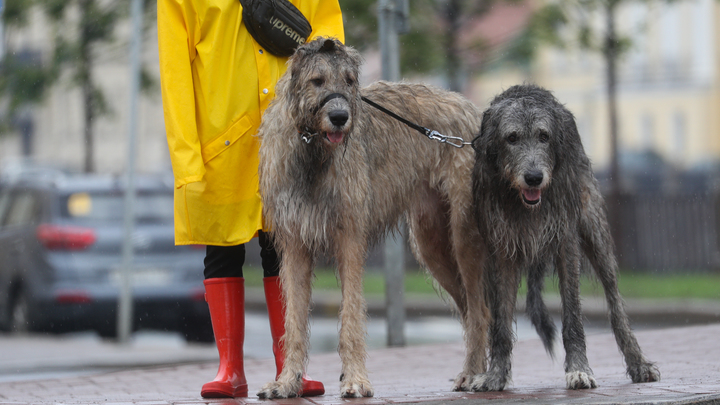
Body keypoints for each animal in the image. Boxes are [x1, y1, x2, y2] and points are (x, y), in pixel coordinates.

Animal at [258, 38, 490, 398]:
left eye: (350, 80)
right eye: (317, 81)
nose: (340, 117)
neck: (312, 150)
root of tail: (472, 110)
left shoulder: (350, 239)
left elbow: (352, 315)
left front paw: (355, 379)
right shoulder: (295, 246)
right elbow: (293, 322)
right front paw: (286, 382)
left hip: (464, 239)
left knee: (480, 312)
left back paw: (477, 375)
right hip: (432, 245)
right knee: (471, 310)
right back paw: (472, 372)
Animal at [470, 83, 660, 390]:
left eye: (543, 136)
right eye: (511, 138)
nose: (534, 177)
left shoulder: (565, 242)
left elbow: (572, 314)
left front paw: (579, 369)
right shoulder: (502, 251)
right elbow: (500, 323)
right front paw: (496, 374)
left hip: (595, 232)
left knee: (616, 305)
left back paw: (638, 363)